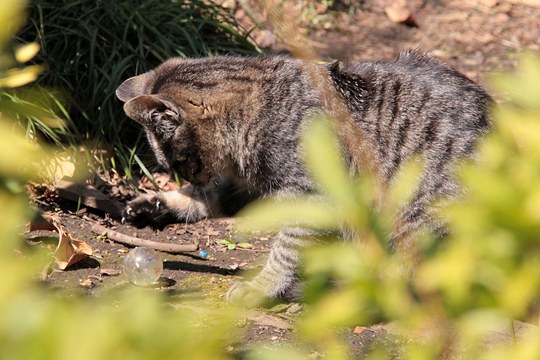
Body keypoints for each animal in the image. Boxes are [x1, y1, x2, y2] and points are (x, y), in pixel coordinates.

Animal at [116, 50, 492, 304]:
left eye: (180, 163)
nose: (184, 174)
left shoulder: (310, 198)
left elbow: (285, 249)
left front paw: (262, 286)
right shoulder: (253, 184)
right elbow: (206, 198)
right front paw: (154, 205)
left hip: (414, 221)